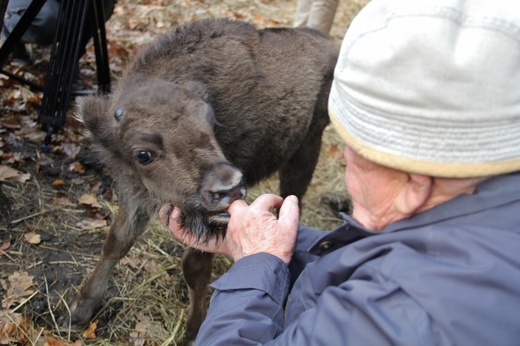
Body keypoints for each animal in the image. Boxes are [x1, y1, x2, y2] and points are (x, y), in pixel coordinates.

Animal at [68, 18, 338, 344]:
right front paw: (80, 310)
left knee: (291, 199)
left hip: (306, 149)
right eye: (143, 153)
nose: (229, 186)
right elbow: (116, 242)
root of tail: (328, 43)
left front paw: (193, 331)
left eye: (211, 123)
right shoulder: (135, 194)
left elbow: (194, 267)